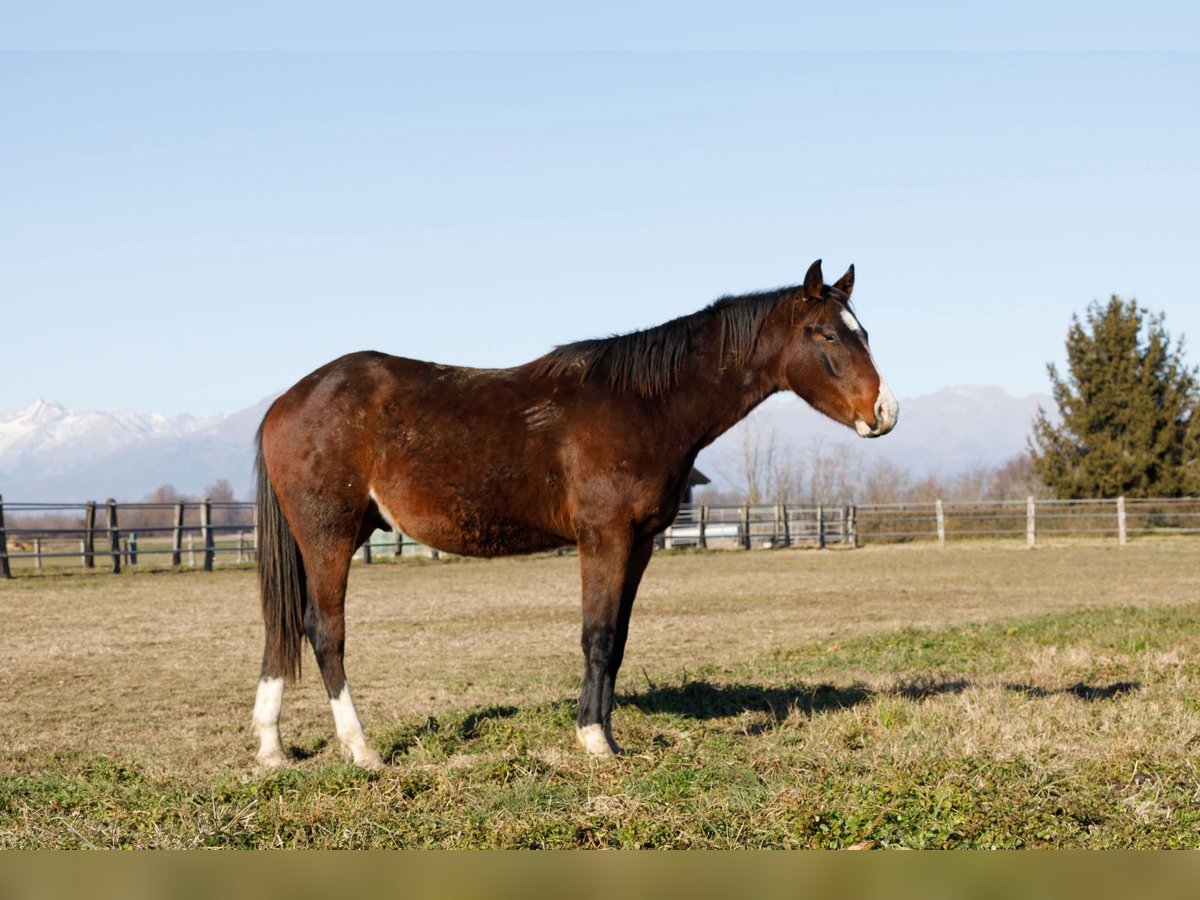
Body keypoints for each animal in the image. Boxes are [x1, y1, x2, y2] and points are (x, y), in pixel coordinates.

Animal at [253, 259, 897, 768]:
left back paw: (272, 749)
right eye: (826, 334)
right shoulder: (604, 538)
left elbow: (618, 639)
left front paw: (605, 731)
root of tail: (287, 401)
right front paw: (594, 740)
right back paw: (361, 749)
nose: (884, 412)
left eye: (862, 332)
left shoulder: (639, 542)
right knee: (324, 631)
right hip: (330, 537)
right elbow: (598, 634)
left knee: (281, 630)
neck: (646, 402)